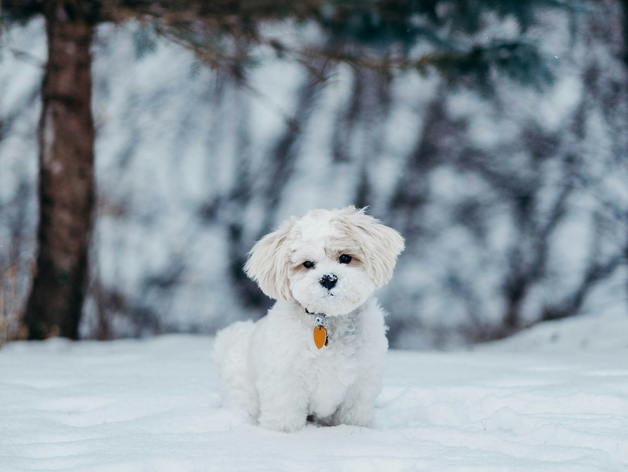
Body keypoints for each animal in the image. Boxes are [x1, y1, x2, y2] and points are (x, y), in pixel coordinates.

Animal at [213, 206, 404, 432]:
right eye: (308, 263)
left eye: (345, 258)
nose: (328, 278)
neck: (328, 320)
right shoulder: (285, 380)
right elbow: (284, 415)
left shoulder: (361, 383)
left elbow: (353, 417)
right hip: (243, 388)